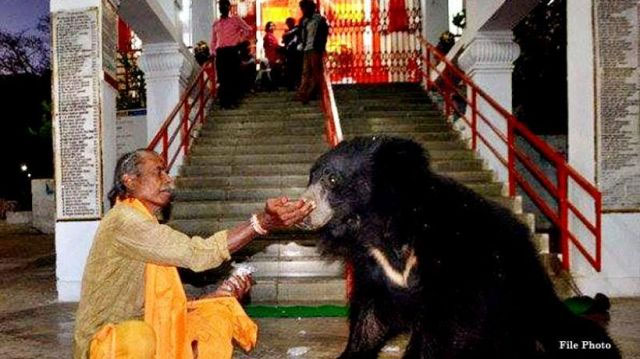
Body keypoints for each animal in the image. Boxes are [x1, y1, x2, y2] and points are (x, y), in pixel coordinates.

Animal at [300, 137, 620, 359]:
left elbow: (446, 322)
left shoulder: (455, 257)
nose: (303, 210)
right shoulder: (376, 265)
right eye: (311, 178)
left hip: (531, 309)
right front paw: (351, 353)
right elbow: (371, 315)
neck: (382, 227)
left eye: (331, 179)